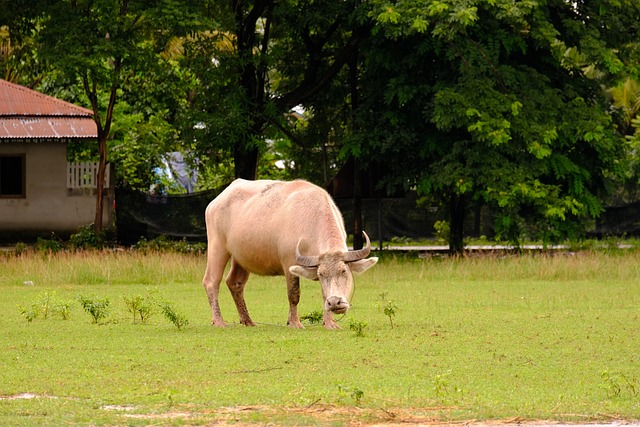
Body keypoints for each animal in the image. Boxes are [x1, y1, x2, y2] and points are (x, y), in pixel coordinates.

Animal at [202, 179, 378, 330]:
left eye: (344, 271)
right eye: (321, 274)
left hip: (241, 257)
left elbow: (324, 294)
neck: (312, 221)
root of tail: (215, 202)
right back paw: (218, 321)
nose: (335, 303)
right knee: (211, 281)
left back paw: (248, 321)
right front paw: (294, 322)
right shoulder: (289, 264)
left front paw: (330, 323)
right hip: (217, 246)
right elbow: (294, 294)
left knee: (235, 283)